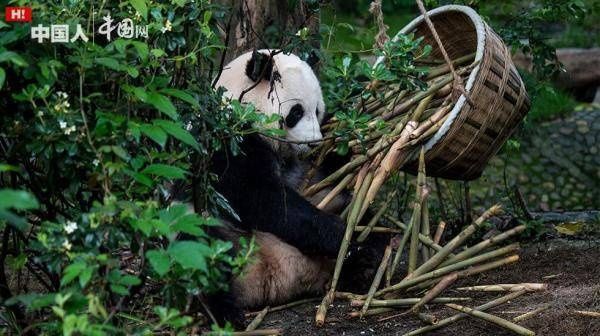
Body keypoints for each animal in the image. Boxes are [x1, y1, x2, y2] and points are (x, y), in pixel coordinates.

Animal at [182, 49, 384, 326]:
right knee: (201, 249)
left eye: (317, 110)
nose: (314, 143)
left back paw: (363, 266)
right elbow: (264, 200)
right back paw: (225, 313)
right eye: (296, 112)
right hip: (204, 221)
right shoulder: (225, 143)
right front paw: (339, 233)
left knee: (362, 213)